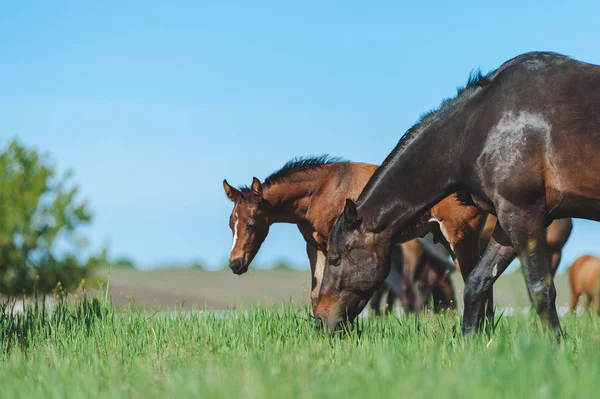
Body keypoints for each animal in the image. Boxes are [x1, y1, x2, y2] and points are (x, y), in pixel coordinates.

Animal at [221, 158, 454, 314]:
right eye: (231, 224)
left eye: (251, 224)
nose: (235, 263)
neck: (321, 191)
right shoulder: (314, 246)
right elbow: (316, 293)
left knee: (414, 292)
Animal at [314, 51, 596, 336]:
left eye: (335, 259)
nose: (319, 320)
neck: (481, 125)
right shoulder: (509, 221)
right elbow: (477, 283)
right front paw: (470, 339)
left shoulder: (523, 214)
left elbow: (540, 289)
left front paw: (554, 343)